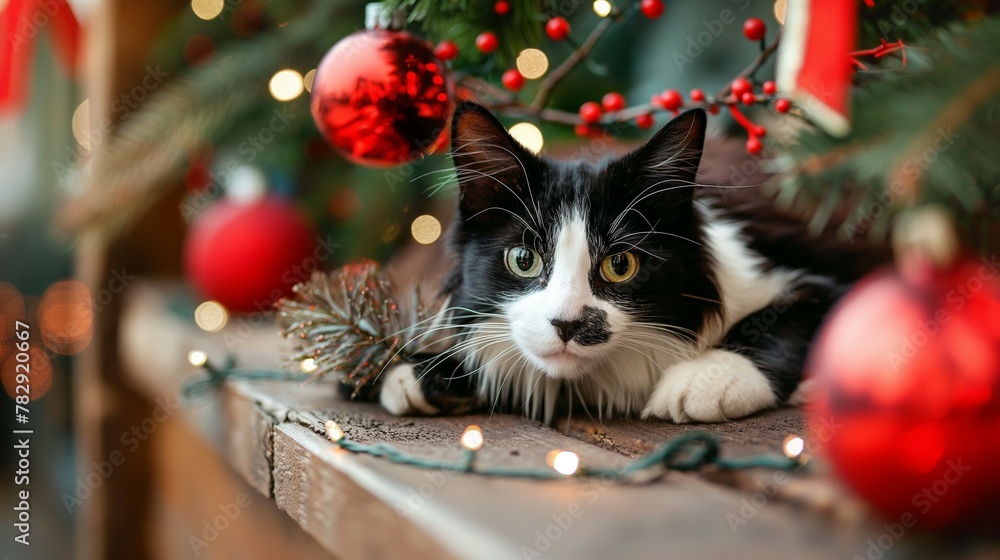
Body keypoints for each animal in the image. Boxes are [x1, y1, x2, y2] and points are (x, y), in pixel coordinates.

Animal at [376, 101, 884, 424]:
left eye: (620, 265)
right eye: (523, 260)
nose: (567, 324)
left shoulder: (823, 281)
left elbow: (786, 317)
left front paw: (710, 376)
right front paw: (424, 373)